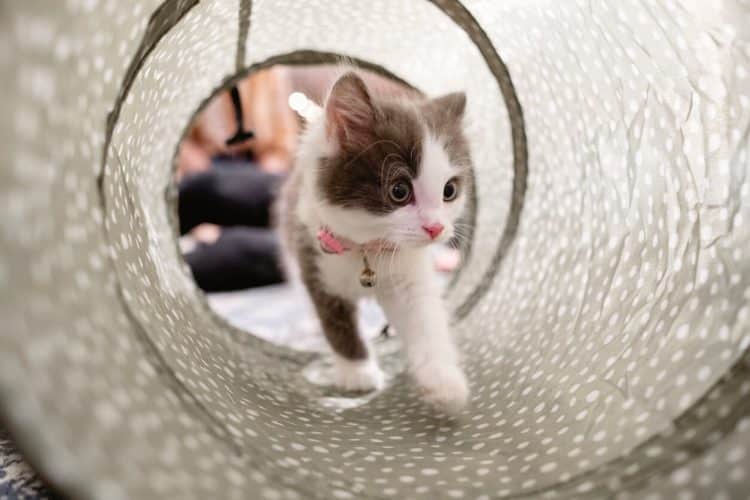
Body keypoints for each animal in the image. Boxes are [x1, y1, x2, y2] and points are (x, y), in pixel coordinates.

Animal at [280, 71, 472, 414]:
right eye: (399, 191)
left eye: (449, 191)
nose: (436, 228)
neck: (366, 249)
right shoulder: (315, 262)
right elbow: (337, 323)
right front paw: (357, 373)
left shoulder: (411, 275)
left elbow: (426, 319)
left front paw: (444, 381)